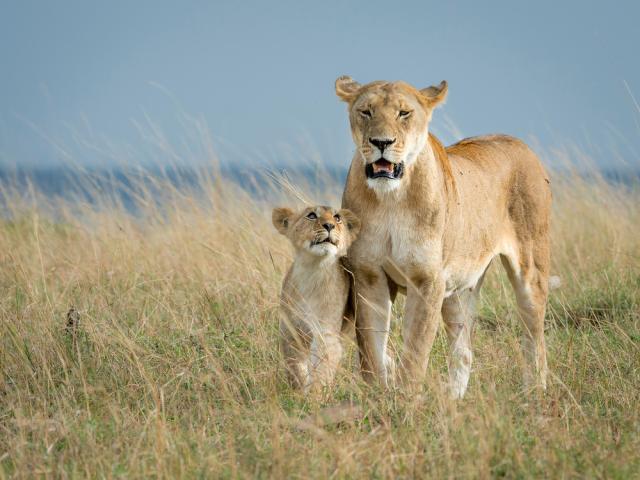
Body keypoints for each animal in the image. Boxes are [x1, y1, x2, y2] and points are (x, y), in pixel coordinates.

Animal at [272, 205, 361, 392]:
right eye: (312, 215)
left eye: (337, 218)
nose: (329, 225)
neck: (312, 270)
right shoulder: (290, 331)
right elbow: (295, 367)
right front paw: (298, 391)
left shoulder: (326, 334)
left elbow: (321, 372)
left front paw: (314, 395)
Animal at [335, 76, 553, 398]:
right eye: (366, 111)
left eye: (404, 113)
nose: (381, 143)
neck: (391, 200)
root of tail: (520, 143)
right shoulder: (369, 275)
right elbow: (372, 350)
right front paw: (378, 397)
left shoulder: (427, 281)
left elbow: (415, 350)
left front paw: (407, 401)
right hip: (459, 291)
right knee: (463, 351)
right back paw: (453, 401)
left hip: (530, 270)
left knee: (534, 338)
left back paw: (535, 393)